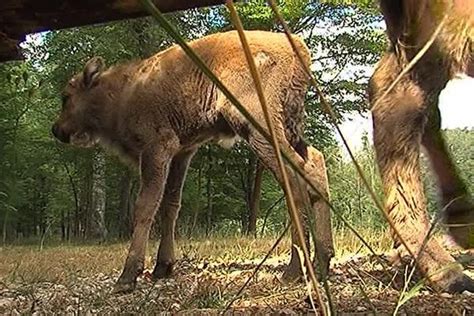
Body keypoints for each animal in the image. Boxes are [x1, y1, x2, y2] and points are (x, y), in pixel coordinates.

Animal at [51, 30, 334, 292]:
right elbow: (170, 205)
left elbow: (145, 206)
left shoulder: (157, 148)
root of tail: (297, 46)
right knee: (314, 163)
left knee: (294, 179)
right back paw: (323, 261)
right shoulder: (182, 152)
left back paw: (294, 271)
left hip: (257, 126)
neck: (122, 93)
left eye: (66, 96)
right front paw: (163, 267)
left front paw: (128, 276)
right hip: (290, 125)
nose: (56, 129)